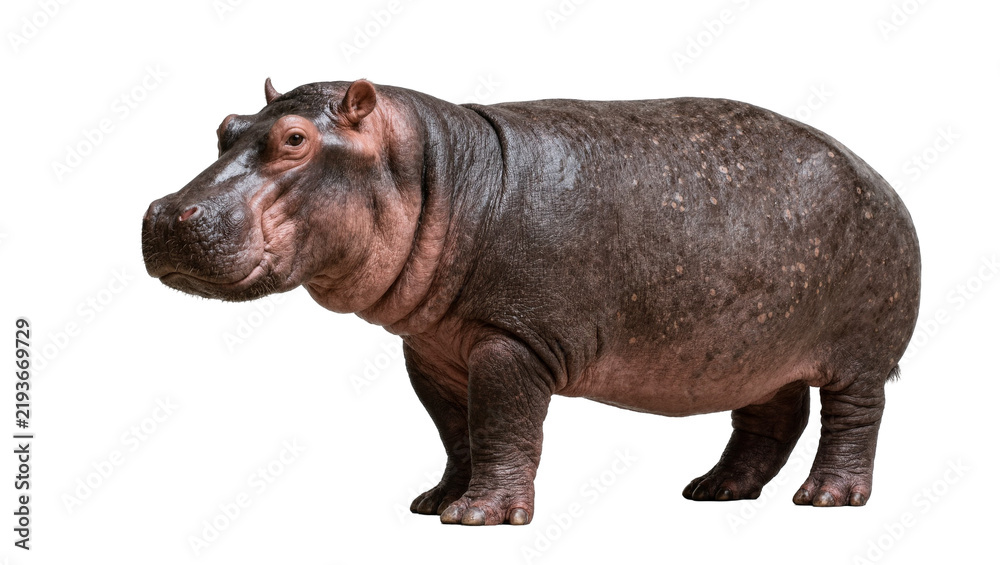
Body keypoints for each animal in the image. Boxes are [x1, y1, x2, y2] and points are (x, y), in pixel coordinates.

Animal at [141, 78, 920, 526]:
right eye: (225, 125)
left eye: (295, 138)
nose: (164, 213)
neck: (441, 174)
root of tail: (882, 178)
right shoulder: (433, 349)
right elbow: (457, 431)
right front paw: (435, 504)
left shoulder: (511, 340)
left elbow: (503, 423)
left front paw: (481, 517)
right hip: (756, 350)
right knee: (771, 418)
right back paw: (714, 490)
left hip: (859, 355)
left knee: (854, 418)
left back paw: (827, 499)